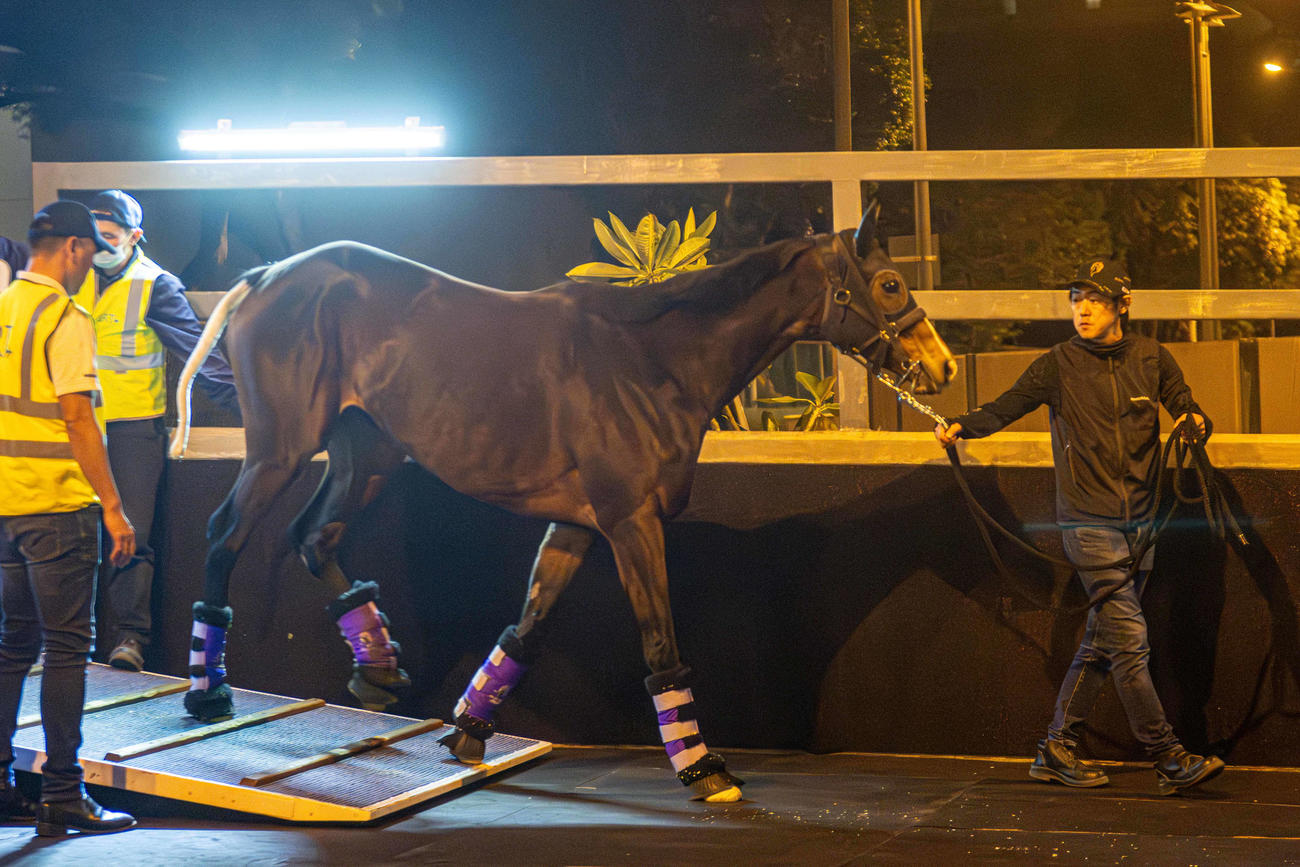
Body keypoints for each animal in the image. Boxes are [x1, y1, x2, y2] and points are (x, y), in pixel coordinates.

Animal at [169, 206, 957, 802]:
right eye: (889, 282)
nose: (943, 365)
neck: (653, 359)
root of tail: (265, 276)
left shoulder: (577, 526)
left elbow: (528, 626)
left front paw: (468, 730)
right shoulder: (631, 521)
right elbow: (661, 644)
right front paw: (704, 768)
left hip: (368, 452)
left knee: (315, 537)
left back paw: (380, 667)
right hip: (280, 449)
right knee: (223, 535)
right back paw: (208, 692)